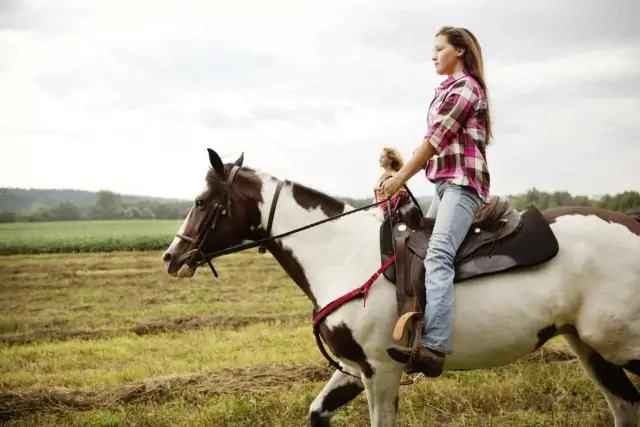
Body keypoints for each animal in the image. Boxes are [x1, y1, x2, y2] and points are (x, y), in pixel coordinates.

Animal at [161, 149, 640, 426]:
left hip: (618, 343)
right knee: (625, 406)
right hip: (588, 346)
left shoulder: (380, 370)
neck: (339, 254)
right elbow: (317, 413)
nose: (171, 256)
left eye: (202, 201)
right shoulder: (353, 367)